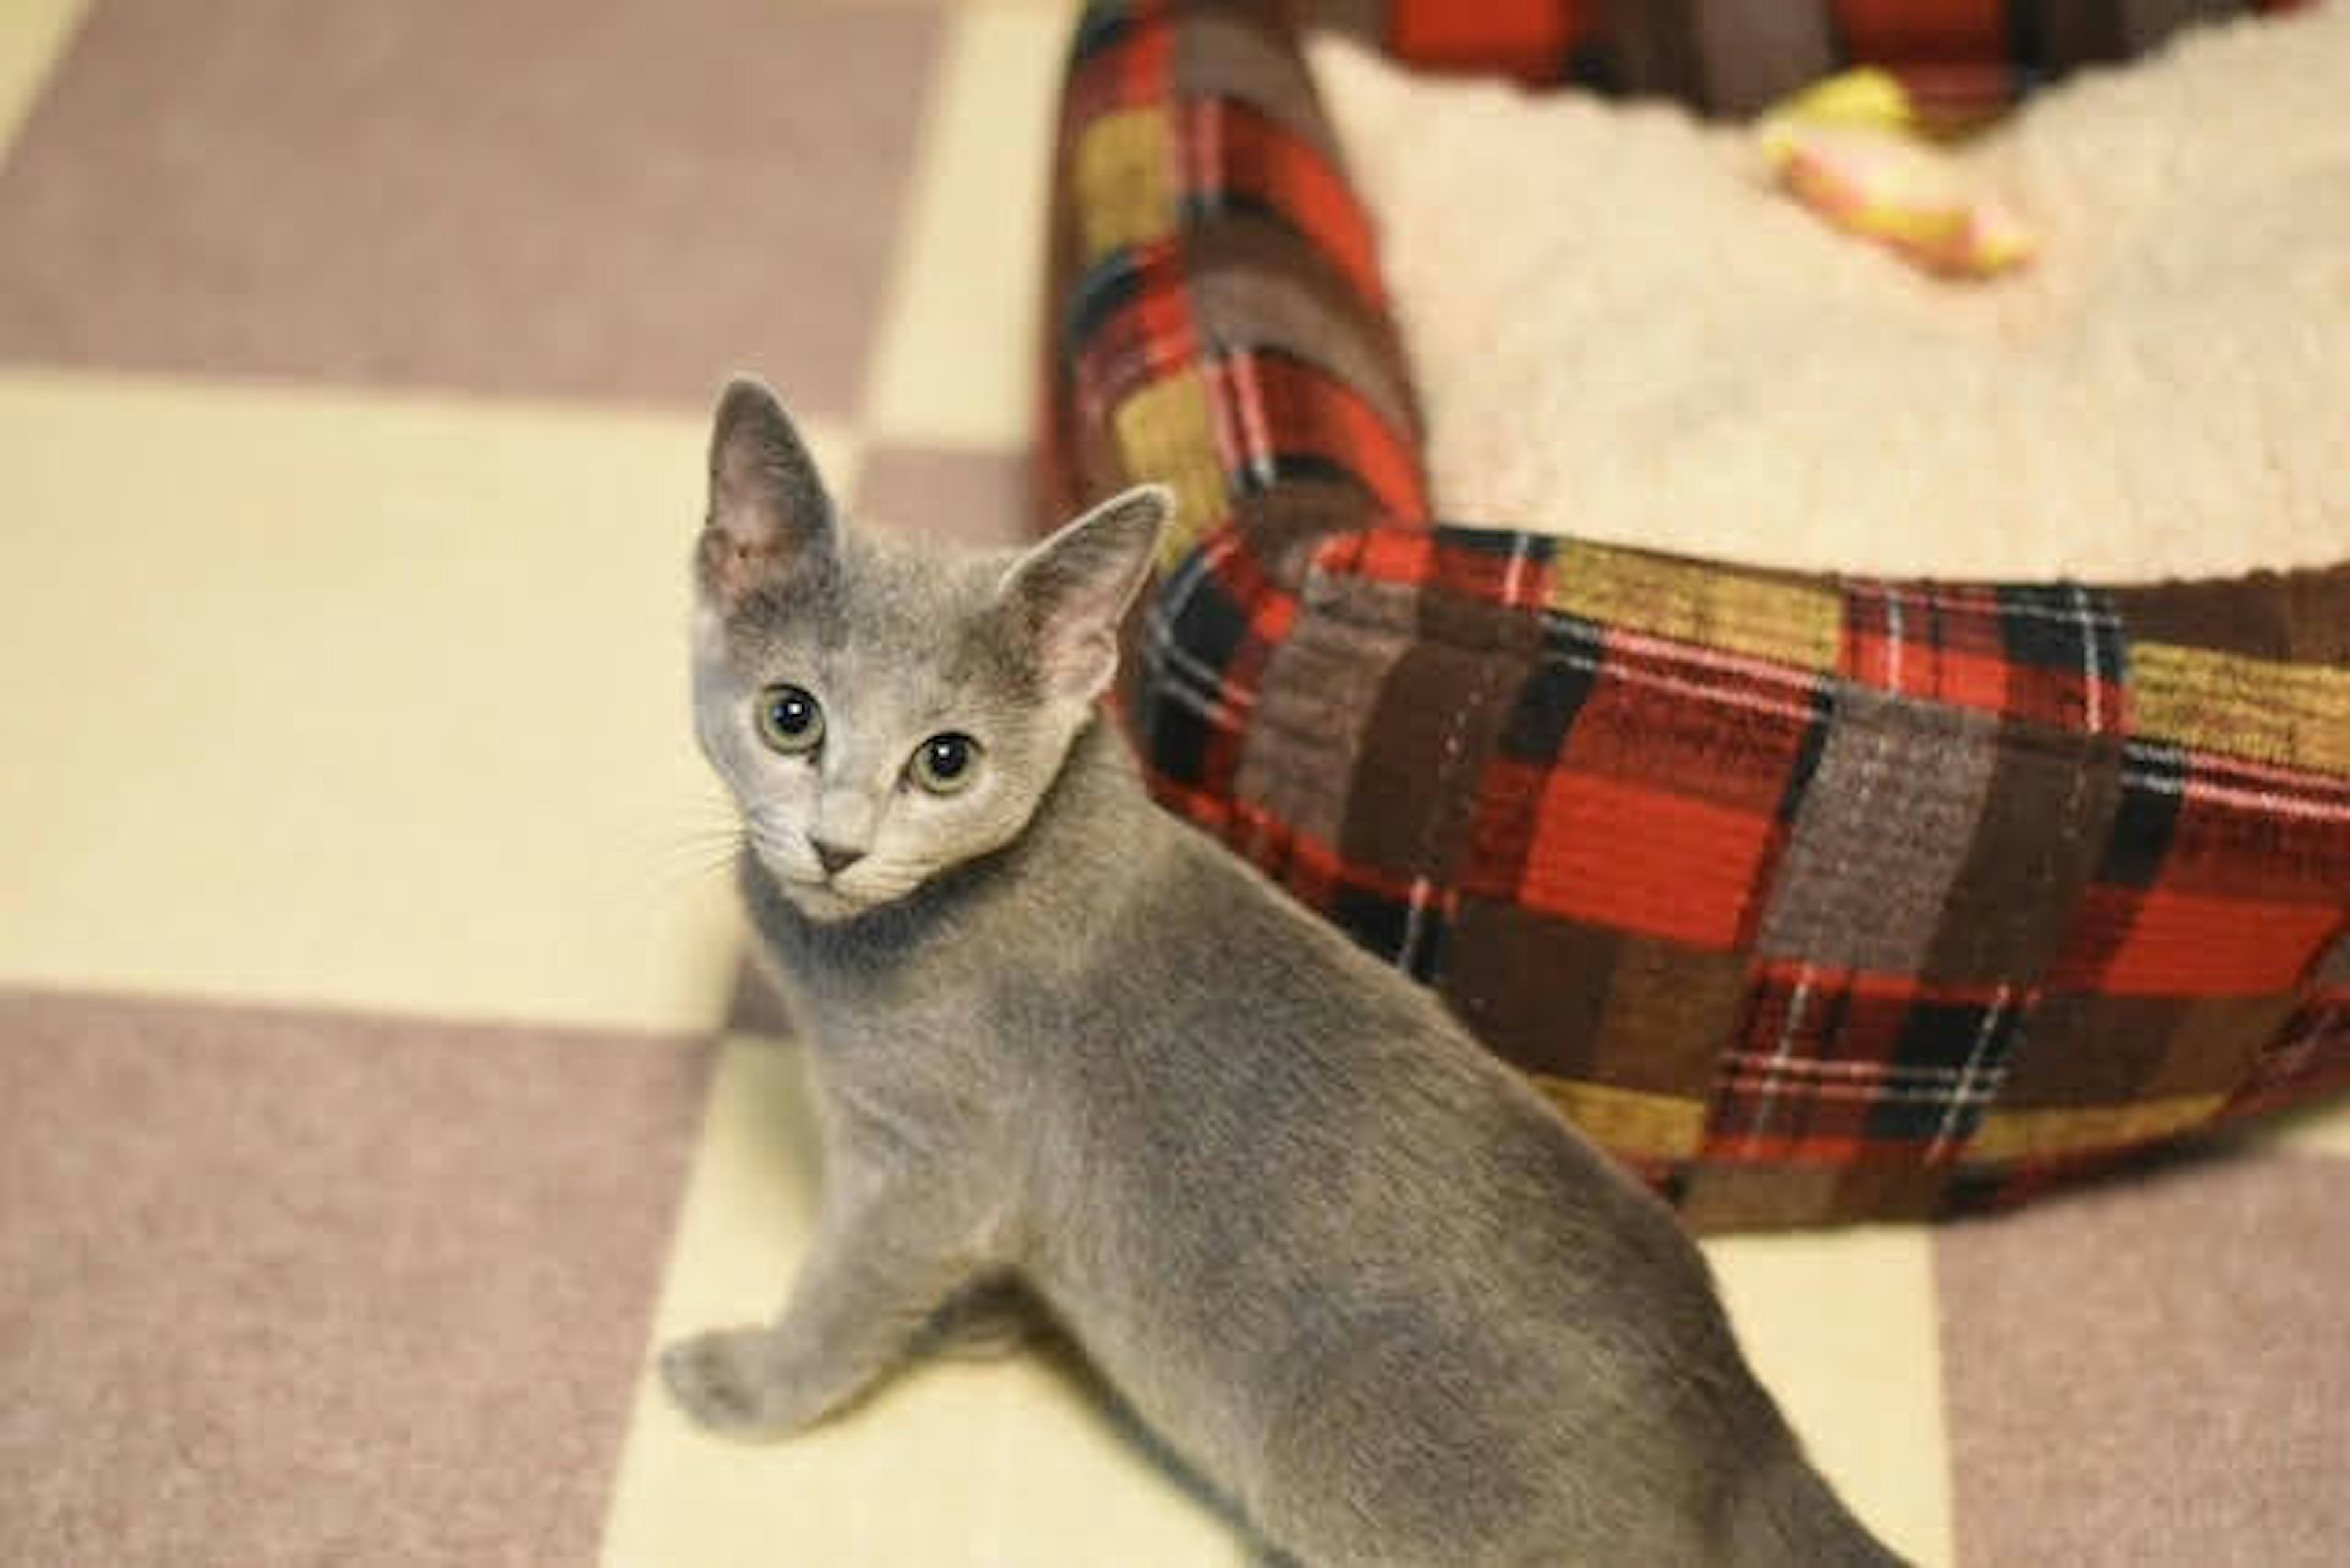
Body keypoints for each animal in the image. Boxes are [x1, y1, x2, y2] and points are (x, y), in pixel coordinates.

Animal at [667, 381, 1908, 1568]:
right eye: (791, 717)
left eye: (945, 761)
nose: (836, 845)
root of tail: (1745, 1431)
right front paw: (984, 1316)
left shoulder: (930, 1154)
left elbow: (850, 1290)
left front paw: (753, 1382)